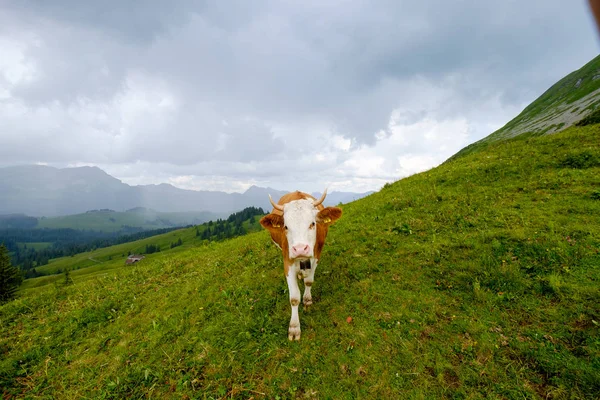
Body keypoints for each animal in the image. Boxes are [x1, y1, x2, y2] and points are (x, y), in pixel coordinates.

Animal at [258, 189, 342, 340]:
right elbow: (294, 298)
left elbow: (309, 281)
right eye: (286, 226)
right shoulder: (287, 262)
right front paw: (294, 327)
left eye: (312, 223)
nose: (300, 249)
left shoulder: (316, 256)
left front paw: (307, 300)